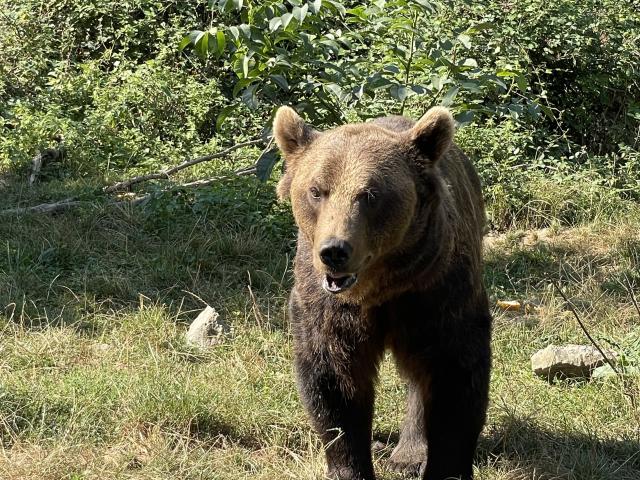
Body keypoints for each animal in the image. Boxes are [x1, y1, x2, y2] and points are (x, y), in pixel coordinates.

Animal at [274, 106, 490, 480]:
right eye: (316, 190)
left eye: (370, 194)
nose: (334, 251)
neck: (378, 290)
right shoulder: (328, 308)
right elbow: (335, 382)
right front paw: (350, 466)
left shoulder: (437, 292)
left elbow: (455, 377)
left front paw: (445, 467)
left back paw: (410, 453)